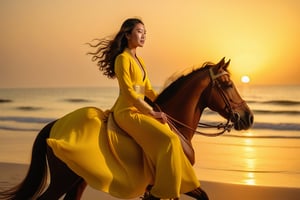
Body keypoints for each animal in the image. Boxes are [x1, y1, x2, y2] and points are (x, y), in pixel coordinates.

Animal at [0, 57, 253, 200]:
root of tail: (53, 125)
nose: (248, 117)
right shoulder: (177, 181)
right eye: (227, 84)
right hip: (63, 179)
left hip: (78, 180)